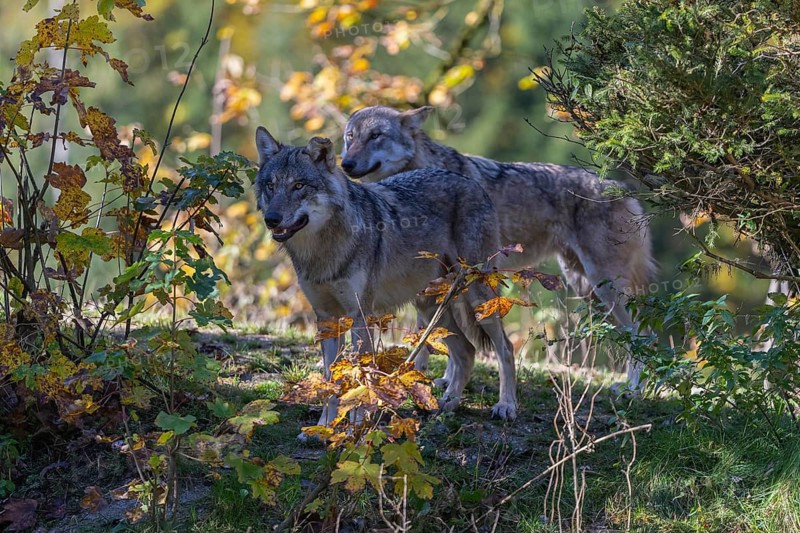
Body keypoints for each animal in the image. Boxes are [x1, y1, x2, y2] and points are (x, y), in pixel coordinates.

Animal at [253, 126, 519, 428]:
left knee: (505, 347)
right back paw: (447, 404)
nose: (272, 219)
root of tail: (471, 182)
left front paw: (355, 427)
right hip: (429, 308)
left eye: (298, 186)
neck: (323, 250)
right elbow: (330, 380)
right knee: (466, 351)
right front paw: (323, 428)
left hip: (479, 299)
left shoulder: (360, 316)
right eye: (271, 186)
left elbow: (360, 374)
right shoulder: (327, 319)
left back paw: (506, 406)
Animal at [341, 106, 657, 391]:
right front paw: (438, 380)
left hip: (604, 287)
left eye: (376, 135)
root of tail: (623, 189)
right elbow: (432, 333)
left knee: (643, 332)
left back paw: (634, 388)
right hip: (587, 289)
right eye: (350, 137)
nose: (346, 163)